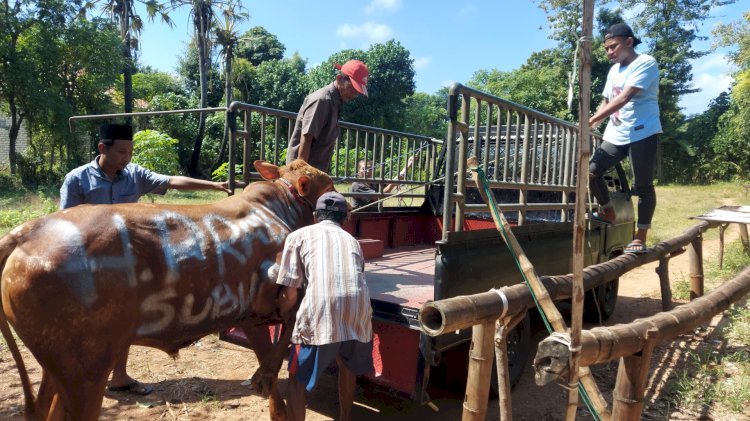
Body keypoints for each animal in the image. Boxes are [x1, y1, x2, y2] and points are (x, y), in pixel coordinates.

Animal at [0, 159, 334, 418]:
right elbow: (290, 336)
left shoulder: (252, 314)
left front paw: (266, 385)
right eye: (329, 184)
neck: (278, 209)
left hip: (58, 367)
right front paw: (264, 377)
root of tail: (25, 232)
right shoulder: (283, 291)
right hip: (86, 370)